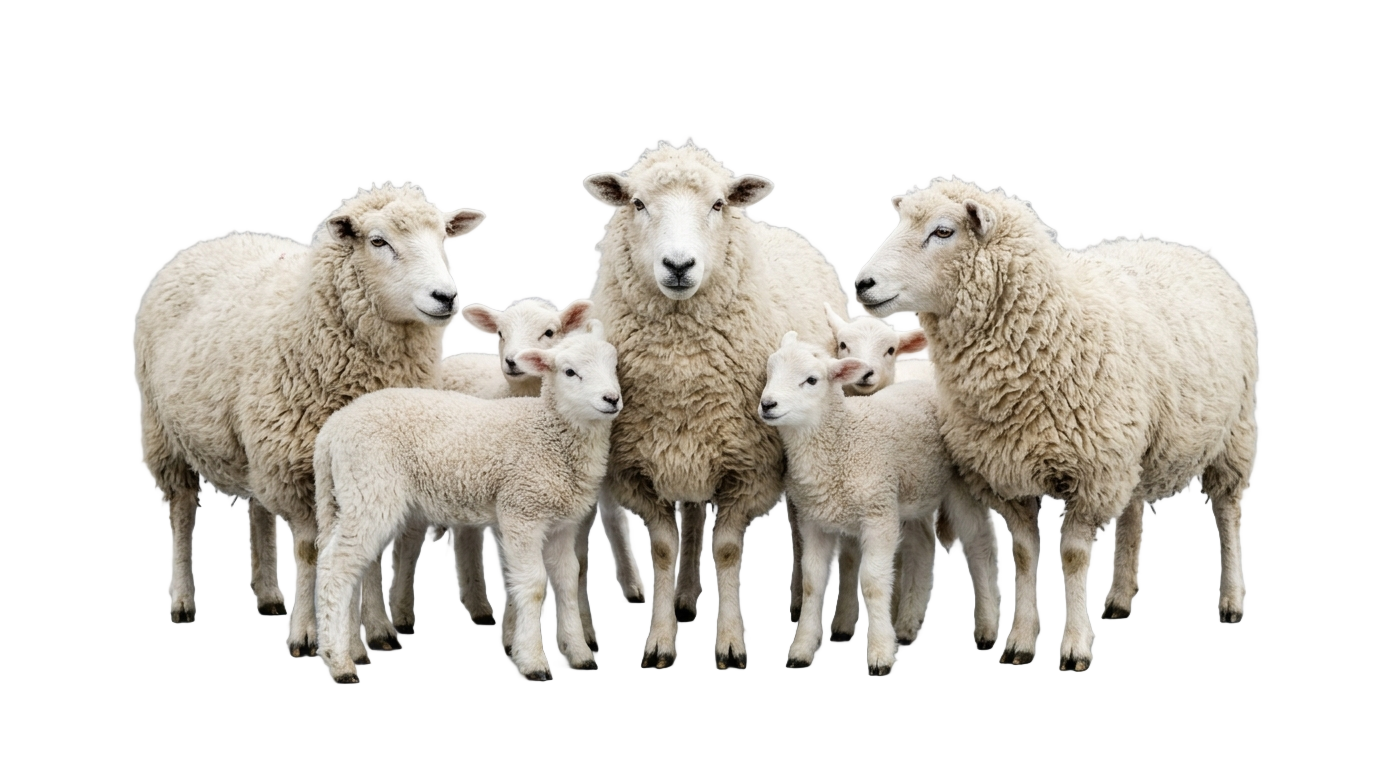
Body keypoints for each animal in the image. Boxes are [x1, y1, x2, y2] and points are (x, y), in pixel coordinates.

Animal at [137, 185, 481, 657]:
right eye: (378, 241)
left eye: (443, 237)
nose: (445, 297)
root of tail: (217, 241)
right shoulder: (295, 471)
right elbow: (307, 552)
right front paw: (305, 635)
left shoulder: (361, 468)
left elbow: (370, 552)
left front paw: (376, 629)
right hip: (165, 434)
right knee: (182, 512)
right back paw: (184, 601)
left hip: (255, 446)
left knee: (257, 510)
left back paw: (266, 594)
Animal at [312, 324, 622, 686]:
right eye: (570, 372)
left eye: (614, 364)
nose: (612, 399)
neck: (548, 432)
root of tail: (331, 430)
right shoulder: (521, 510)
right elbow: (533, 585)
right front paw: (532, 661)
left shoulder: (562, 524)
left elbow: (569, 580)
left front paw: (581, 654)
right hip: (370, 487)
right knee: (337, 567)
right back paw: (340, 664)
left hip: (347, 495)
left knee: (349, 563)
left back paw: (352, 648)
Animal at [583, 145, 848, 668]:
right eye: (638, 203)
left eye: (718, 204)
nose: (679, 265)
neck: (683, 372)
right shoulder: (640, 467)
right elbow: (663, 550)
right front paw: (659, 640)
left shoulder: (749, 468)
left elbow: (726, 551)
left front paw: (729, 643)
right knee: (691, 517)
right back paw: (685, 595)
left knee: (795, 520)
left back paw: (792, 601)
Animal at [760, 332, 997, 677]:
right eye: (770, 371)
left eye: (811, 380)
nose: (767, 404)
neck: (841, 442)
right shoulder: (813, 519)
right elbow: (812, 582)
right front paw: (801, 650)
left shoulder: (878, 514)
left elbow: (872, 582)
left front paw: (879, 653)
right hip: (912, 493)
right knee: (922, 545)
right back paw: (907, 624)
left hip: (959, 486)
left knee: (979, 545)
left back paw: (987, 628)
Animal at [853, 179, 1255, 670]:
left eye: (943, 231)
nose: (861, 285)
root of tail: (1172, 245)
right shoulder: (1009, 476)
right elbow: (1023, 557)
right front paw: (1019, 642)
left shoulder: (1093, 475)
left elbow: (1074, 557)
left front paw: (1075, 647)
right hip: (1133, 449)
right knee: (1134, 513)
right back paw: (1119, 597)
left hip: (1232, 434)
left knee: (1227, 512)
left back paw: (1231, 601)